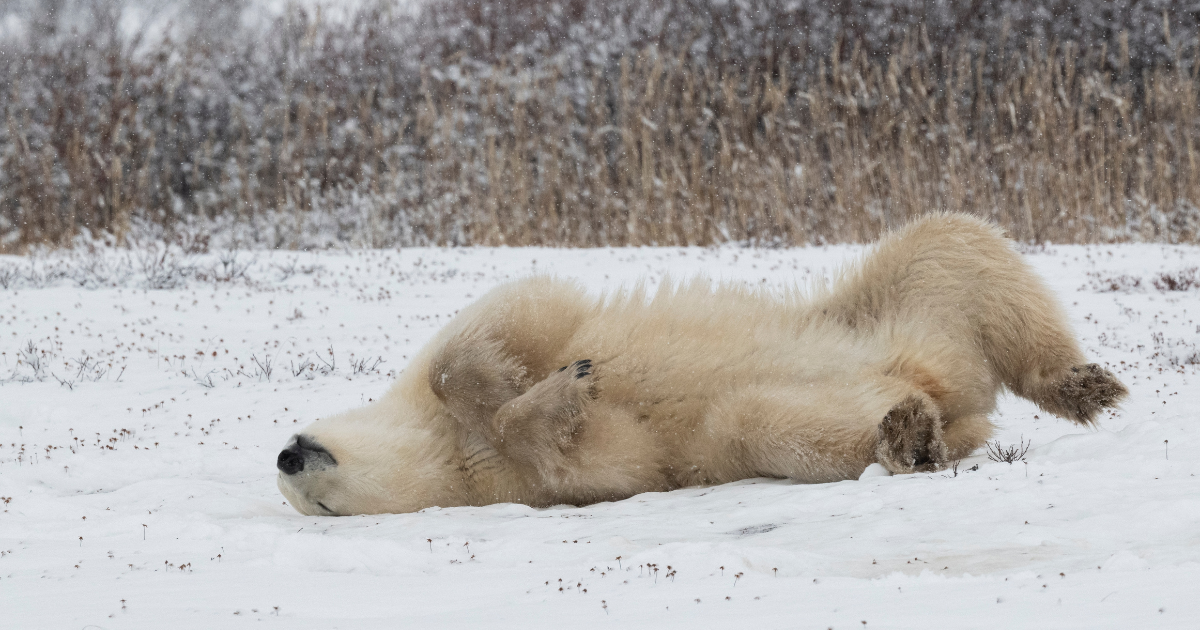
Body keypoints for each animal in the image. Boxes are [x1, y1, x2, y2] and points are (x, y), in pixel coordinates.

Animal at [275, 213, 1127, 516]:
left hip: (884, 306)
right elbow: (612, 458)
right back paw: (909, 434)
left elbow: (507, 317)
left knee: (953, 246)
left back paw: (1081, 385)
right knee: (764, 421)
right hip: (878, 377)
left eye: (305, 487)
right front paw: (561, 401)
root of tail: (947, 383)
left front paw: (548, 379)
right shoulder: (524, 484)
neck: (446, 454)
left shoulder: (470, 358)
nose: (288, 455)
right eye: (321, 510)